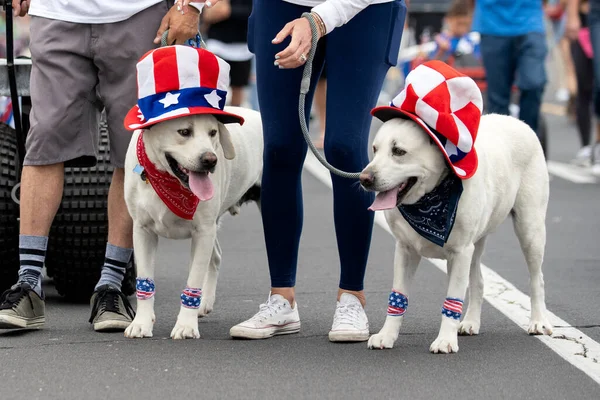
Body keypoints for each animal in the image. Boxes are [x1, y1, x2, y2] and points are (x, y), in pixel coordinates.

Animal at [122, 45, 262, 340]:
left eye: (213, 133)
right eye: (184, 131)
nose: (211, 160)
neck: (167, 179)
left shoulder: (202, 232)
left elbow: (192, 280)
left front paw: (185, 325)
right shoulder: (142, 231)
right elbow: (145, 282)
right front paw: (141, 322)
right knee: (216, 256)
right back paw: (204, 304)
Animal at [360, 59, 552, 354]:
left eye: (399, 151)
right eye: (374, 149)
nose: (364, 179)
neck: (430, 200)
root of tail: (517, 120)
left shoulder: (460, 252)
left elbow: (452, 298)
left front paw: (444, 340)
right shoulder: (405, 251)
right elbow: (398, 297)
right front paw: (387, 335)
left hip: (529, 229)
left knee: (536, 278)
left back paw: (539, 321)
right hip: (476, 243)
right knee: (479, 280)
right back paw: (470, 322)